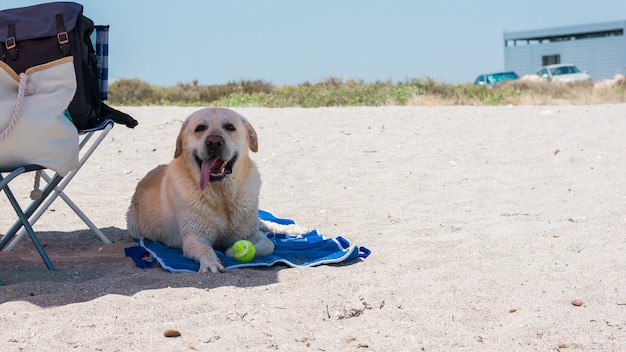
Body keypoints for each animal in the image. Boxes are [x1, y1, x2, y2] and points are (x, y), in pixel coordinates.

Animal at [125, 107, 306, 272]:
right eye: (200, 128)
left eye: (230, 127)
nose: (213, 142)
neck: (222, 194)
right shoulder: (195, 237)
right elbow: (206, 249)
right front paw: (211, 263)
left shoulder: (249, 233)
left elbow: (268, 244)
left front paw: (232, 251)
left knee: (265, 223)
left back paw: (293, 229)